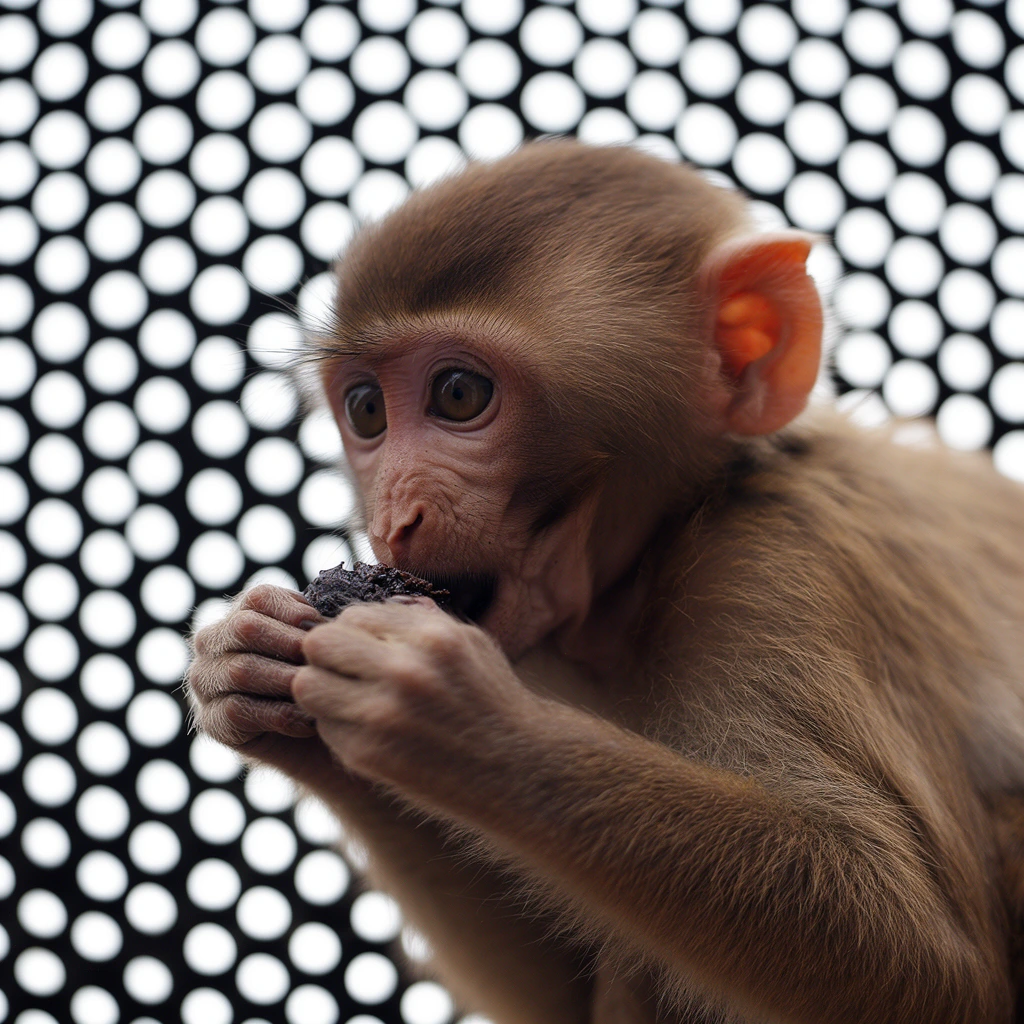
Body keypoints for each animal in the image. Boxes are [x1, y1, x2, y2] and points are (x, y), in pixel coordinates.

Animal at [187, 140, 1024, 1024]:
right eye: (368, 412)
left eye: (459, 394)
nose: (394, 514)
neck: (658, 556)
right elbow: (556, 992)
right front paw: (245, 664)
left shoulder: (784, 564)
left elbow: (930, 959)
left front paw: (463, 722)